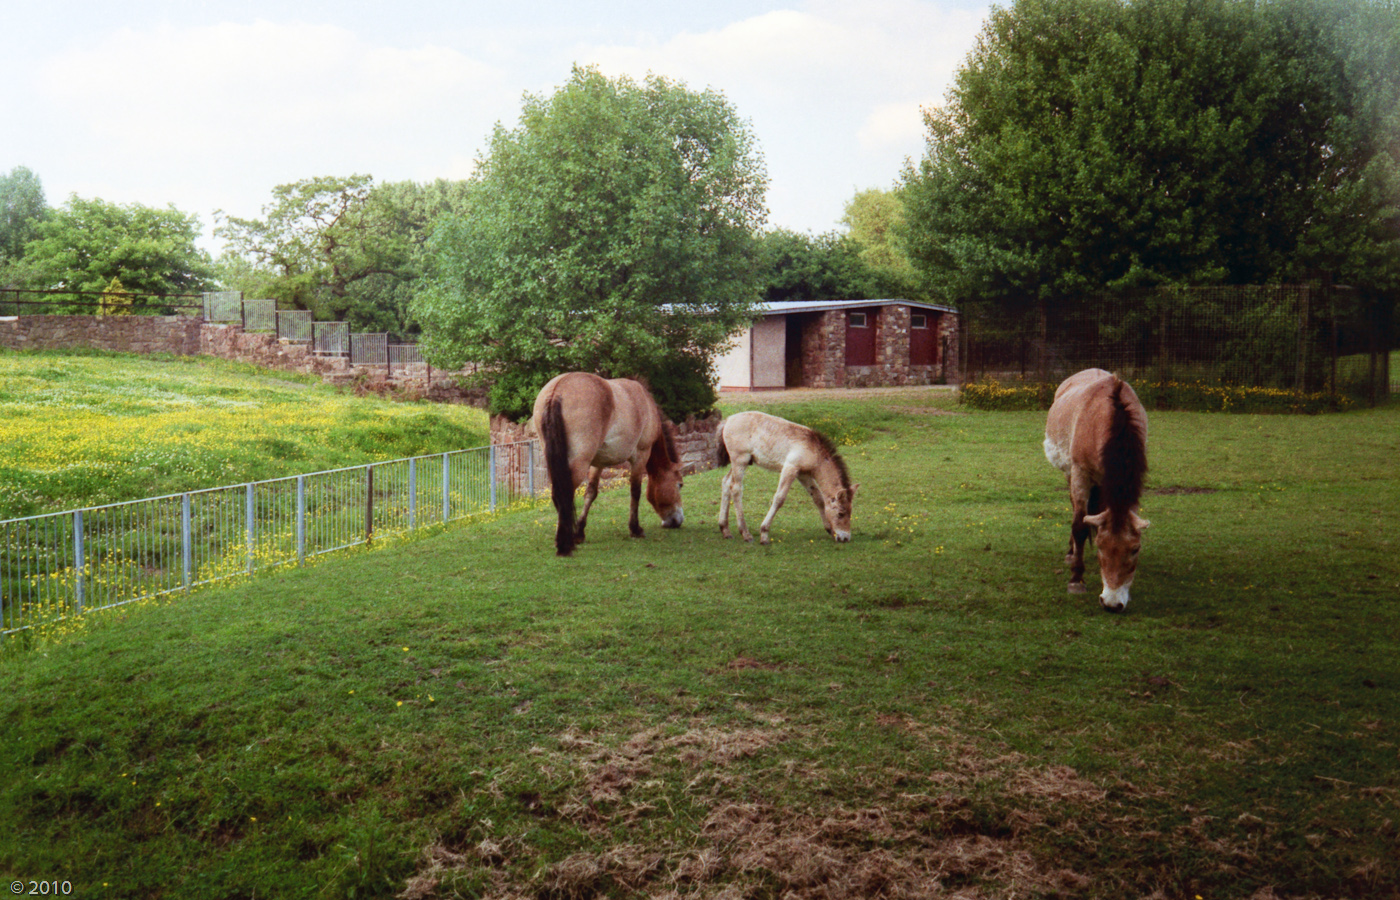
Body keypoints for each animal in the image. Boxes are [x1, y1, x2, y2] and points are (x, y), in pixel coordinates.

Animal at [531, 372, 685, 557]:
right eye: (679, 485)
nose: (677, 520)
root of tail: (557, 390)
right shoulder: (641, 455)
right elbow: (635, 491)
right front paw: (635, 529)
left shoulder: (598, 463)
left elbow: (590, 493)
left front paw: (579, 532)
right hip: (577, 464)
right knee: (564, 496)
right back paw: (564, 545)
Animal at [715, 410, 859, 545]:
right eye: (841, 513)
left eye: (850, 512)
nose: (845, 538)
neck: (813, 449)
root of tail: (728, 420)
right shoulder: (790, 468)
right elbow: (779, 498)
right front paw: (764, 534)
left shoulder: (803, 474)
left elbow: (818, 498)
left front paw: (829, 529)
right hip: (740, 460)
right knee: (736, 489)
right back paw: (745, 533)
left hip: (741, 463)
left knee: (726, 482)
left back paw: (725, 530)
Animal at [1043, 368, 1150, 611]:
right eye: (1101, 546)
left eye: (1135, 549)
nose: (1112, 603)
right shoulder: (1080, 473)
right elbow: (1080, 526)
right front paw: (1076, 579)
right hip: (1071, 474)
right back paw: (1072, 553)